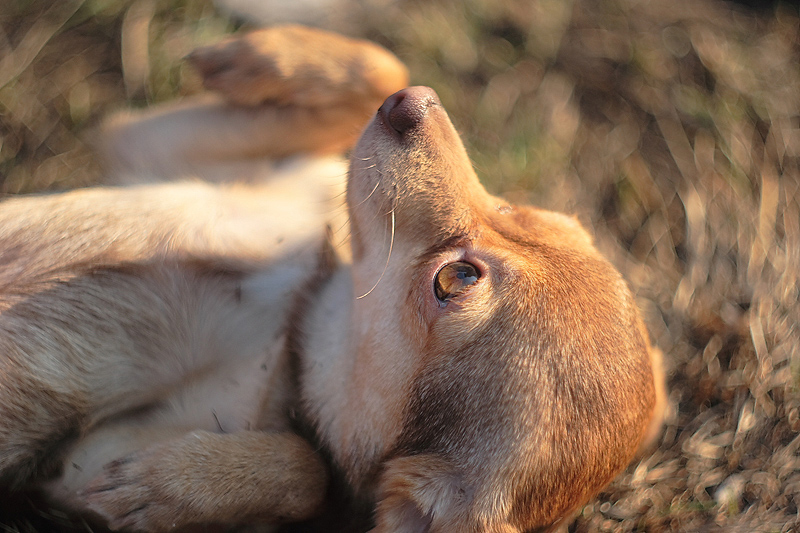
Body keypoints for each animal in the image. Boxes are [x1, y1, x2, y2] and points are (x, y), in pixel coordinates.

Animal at [0, 23, 664, 532]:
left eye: (454, 282)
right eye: (521, 213)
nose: (414, 101)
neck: (308, 298)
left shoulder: (82, 462)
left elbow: (308, 469)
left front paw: (180, 483)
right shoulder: (151, 146)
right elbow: (379, 61)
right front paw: (262, 56)